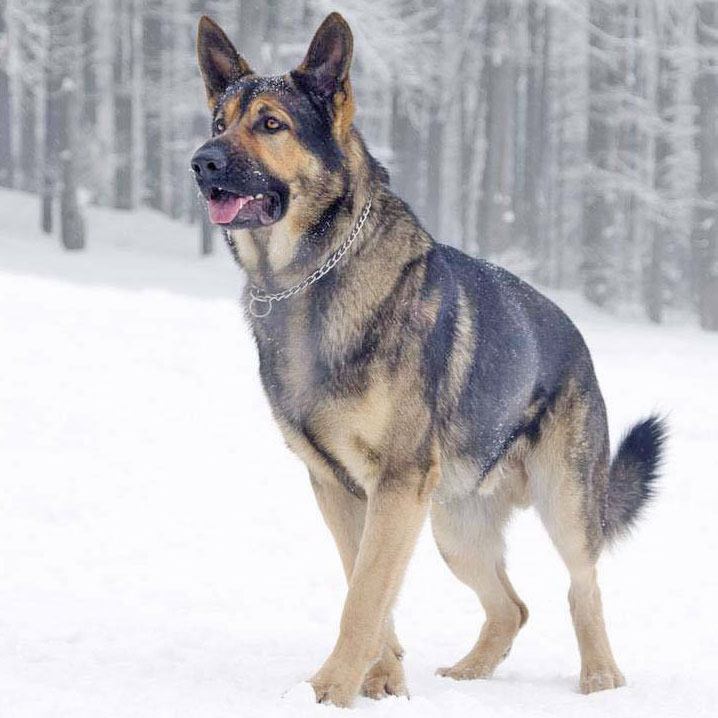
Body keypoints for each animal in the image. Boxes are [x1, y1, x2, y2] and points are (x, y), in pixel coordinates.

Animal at [193, 11, 668, 708]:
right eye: (218, 122)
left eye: (271, 124)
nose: (200, 162)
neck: (308, 280)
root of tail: (578, 339)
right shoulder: (344, 491)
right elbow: (367, 586)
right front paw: (382, 681)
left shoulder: (396, 484)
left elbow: (364, 596)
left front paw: (329, 691)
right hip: (453, 529)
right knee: (511, 608)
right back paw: (471, 674)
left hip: (562, 506)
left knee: (584, 587)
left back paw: (601, 679)